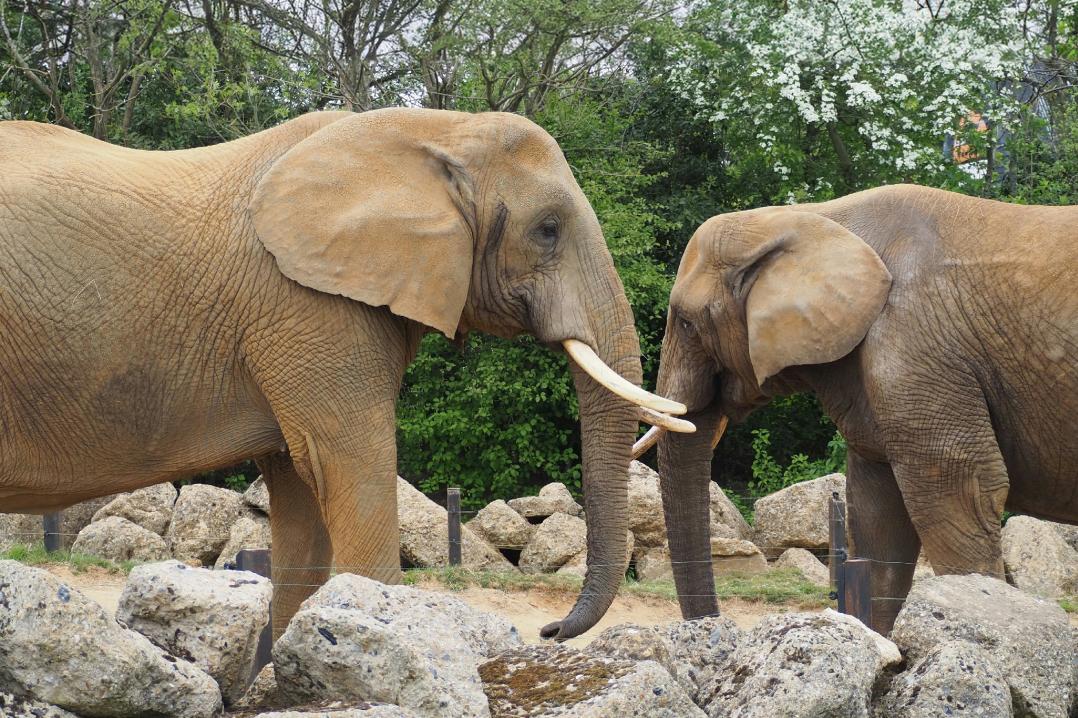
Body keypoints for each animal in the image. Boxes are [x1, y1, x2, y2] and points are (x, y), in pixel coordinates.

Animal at [0, 108, 691, 640]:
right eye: (547, 230)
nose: (547, 631)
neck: (435, 131)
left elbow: (302, 500)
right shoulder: (311, 307)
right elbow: (348, 471)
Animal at [635, 183, 1078, 634]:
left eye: (687, 323)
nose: (714, 626)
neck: (813, 217)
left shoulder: (914, 346)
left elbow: (961, 488)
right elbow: (878, 521)